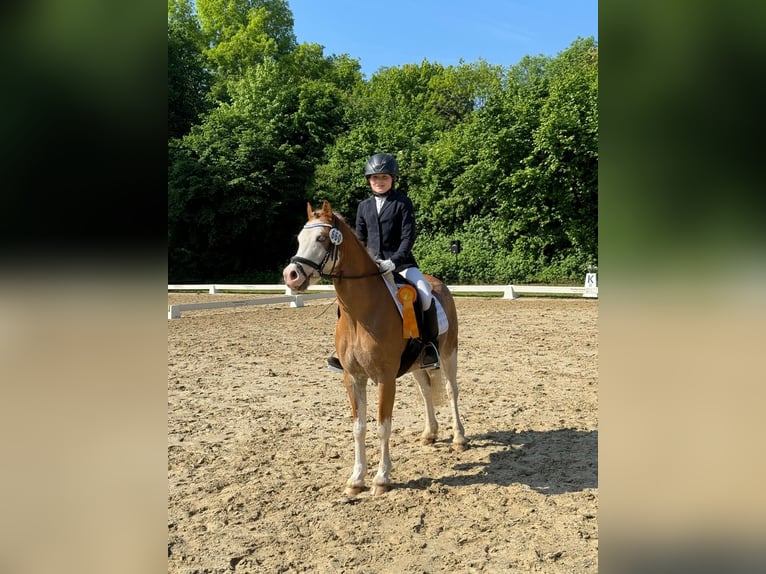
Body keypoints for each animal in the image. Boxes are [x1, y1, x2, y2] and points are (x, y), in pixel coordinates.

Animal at [282, 200, 467, 496]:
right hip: (417, 363)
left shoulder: (385, 378)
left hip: (450, 354)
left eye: (321, 238)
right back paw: (430, 434)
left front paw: (382, 478)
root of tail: (439, 284)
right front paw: (356, 479)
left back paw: (459, 438)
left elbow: (383, 426)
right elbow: (358, 427)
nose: (291, 276)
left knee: (451, 390)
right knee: (426, 390)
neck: (361, 314)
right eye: (300, 239)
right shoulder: (352, 378)